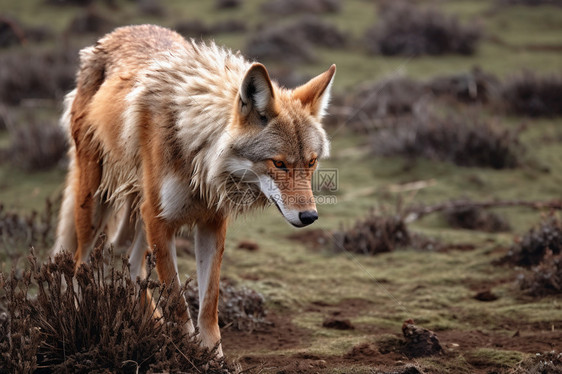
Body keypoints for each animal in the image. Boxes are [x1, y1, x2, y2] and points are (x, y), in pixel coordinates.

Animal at [51, 24, 332, 356]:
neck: (197, 150)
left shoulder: (211, 223)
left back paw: (153, 328)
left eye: (311, 162)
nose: (310, 216)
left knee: (131, 266)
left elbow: (208, 304)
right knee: (81, 265)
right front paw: (187, 354)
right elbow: (176, 299)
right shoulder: (159, 220)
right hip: (96, 204)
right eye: (279, 164)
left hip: (138, 216)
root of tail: (115, 33)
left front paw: (213, 357)